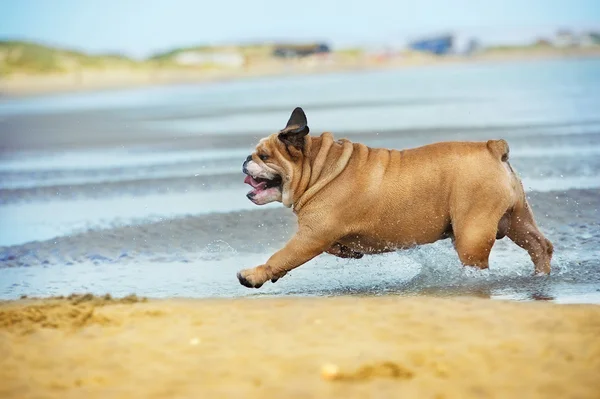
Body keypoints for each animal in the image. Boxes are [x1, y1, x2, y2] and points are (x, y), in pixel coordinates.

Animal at [238, 106, 552, 290]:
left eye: (263, 156)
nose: (245, 160)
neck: (320, 167)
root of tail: (492, 148)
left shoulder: (310, 236)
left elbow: (282, 256)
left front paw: (254, 275)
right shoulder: (320, 235)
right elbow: (330, 248)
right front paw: (346, 250)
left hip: (472, 233)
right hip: (517, 220)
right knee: (540, 246)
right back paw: (541, 276)